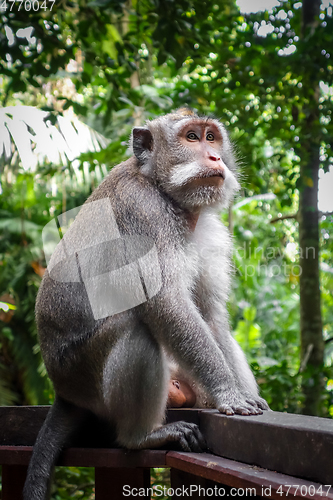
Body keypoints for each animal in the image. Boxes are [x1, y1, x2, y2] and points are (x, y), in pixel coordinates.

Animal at [24, 109, 268, 500]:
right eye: (191, 137)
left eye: (212, 137)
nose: (215, 158)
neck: (163, 191)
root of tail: (63, 391)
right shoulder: (142, 214)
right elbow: (165, 303)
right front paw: (229, 393)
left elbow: (212, 317)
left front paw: (239, 393)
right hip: (83, 376)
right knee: (136, 330)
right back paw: (140, 437)